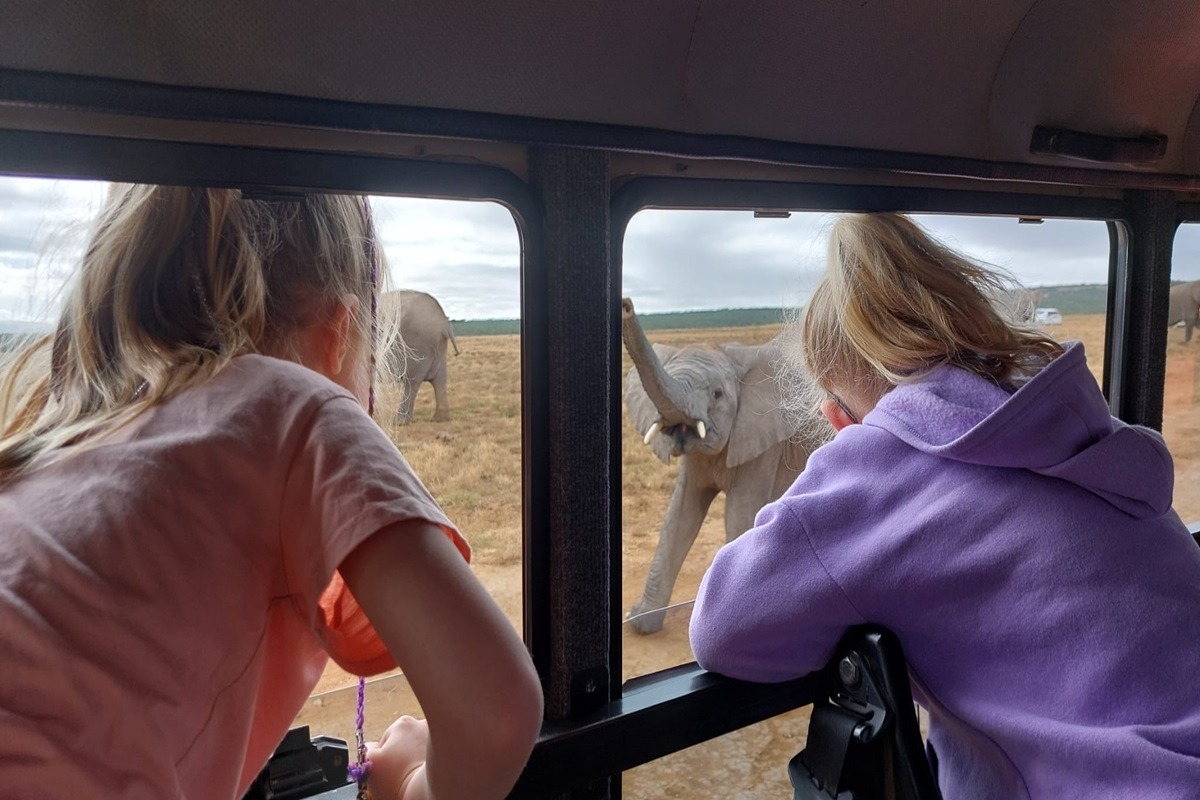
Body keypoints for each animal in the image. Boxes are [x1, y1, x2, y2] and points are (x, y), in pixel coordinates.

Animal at [381, 289, 460, 424]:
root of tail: (444, 323)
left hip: (417, 345)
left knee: (411, 382)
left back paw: (400, 422)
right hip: (437, 347)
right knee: (439, 380)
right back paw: (440, 419)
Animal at [619, 297, 835, 633]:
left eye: (717, 394)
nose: (626, 305)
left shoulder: (764, 443)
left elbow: (739, 515)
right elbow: (680, 517)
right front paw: (640, 623)